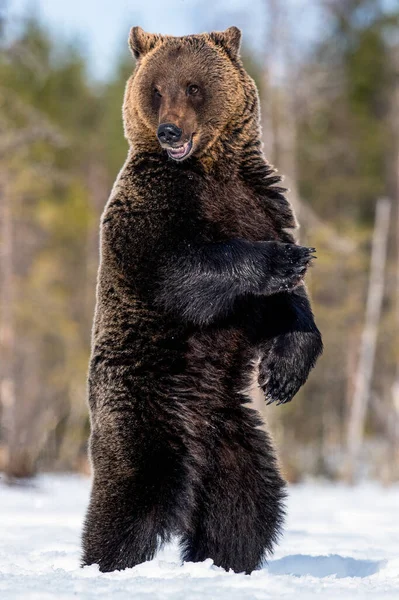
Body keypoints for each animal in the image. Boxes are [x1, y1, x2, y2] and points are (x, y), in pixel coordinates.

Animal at [83, 25, 324, 576]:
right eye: (156, 90)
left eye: (193, 87)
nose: (170, 132)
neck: (208, 170)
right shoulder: (152, 209)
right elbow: (179, 269)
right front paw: (282, 260)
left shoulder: (262, 201)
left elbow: (289, 308)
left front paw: (281, 375)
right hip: (144, 407)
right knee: (135, 491)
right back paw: (105, 563)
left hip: (233, 436)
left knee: (247, 505)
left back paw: (225, 561)